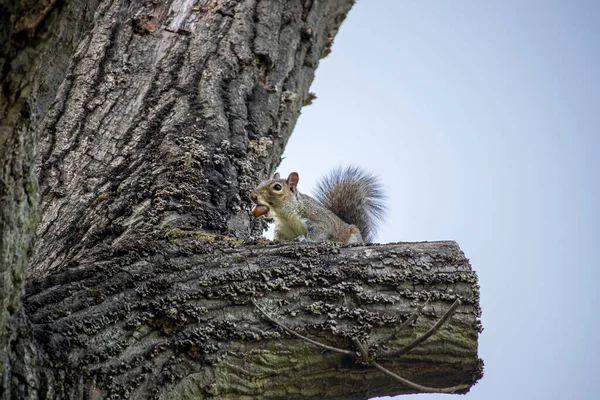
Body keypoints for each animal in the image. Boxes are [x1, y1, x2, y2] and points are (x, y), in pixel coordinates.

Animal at [250, 166, 386, 244]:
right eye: (261, 182)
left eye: (277, 187)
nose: (252, 196)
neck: (286, 216)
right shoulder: (283, 230)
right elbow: (280, 239)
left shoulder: (318, 220)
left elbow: (320, 233)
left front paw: (304, 239)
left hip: (353, 234)